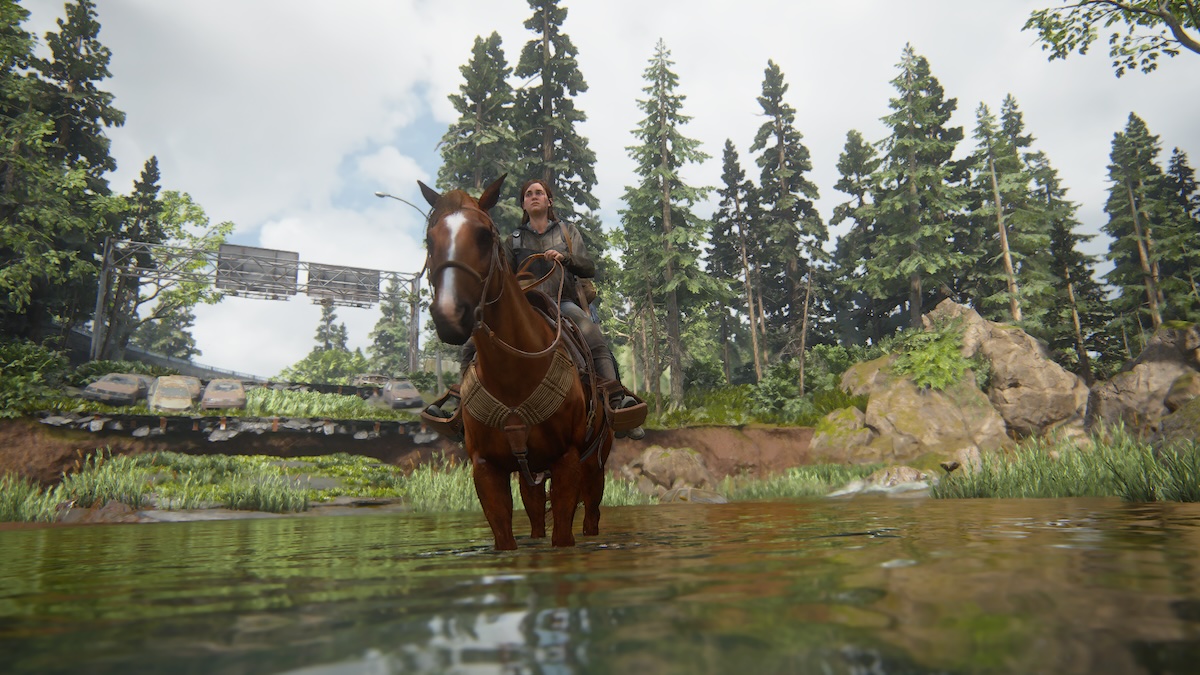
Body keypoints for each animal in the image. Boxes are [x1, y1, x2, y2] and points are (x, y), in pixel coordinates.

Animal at [418, 174, 613, 550]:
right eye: (429, 239)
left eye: (484, 235)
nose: (450, 315)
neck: (513, 375)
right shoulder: (486, 469)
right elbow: (505, 533)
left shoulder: (567, 461)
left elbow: (564, 532)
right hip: (531, 473)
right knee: (536, 514)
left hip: (596, 463)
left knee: (593, 514)